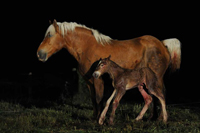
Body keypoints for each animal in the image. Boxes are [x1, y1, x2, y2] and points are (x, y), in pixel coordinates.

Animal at [37, 19, 181, 121]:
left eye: (49, 35)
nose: (39, 54)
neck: (87, 47)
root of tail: (162, 44)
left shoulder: (98, 80)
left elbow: (99, 98)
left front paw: (99, 119)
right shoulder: (89, 82)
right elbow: (93, 99)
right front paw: (95, 117)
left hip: (156, 78)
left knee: (161, 94)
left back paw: (160, 118)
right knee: (153, 96)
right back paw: (151, 117)